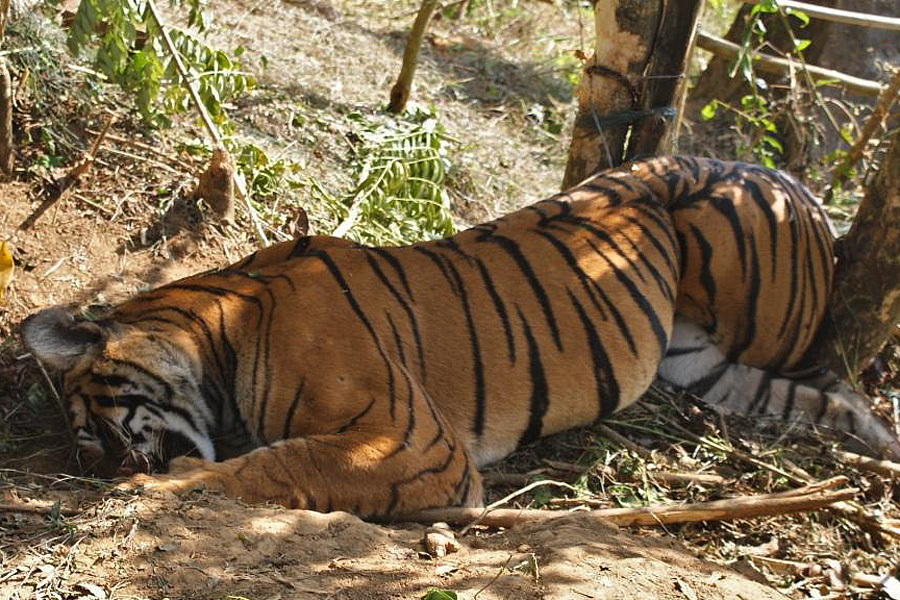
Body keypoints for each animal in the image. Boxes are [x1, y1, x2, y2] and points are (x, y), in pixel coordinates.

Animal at [21, 157, 900, 516]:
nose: (103, 471)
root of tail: (787, 179)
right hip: (700, 362)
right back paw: (874, 438)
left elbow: (275, 464)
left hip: (760, 291)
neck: (226, 328)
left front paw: (163, 487)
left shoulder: (408, 439)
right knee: (810, 393)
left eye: (93, 428)